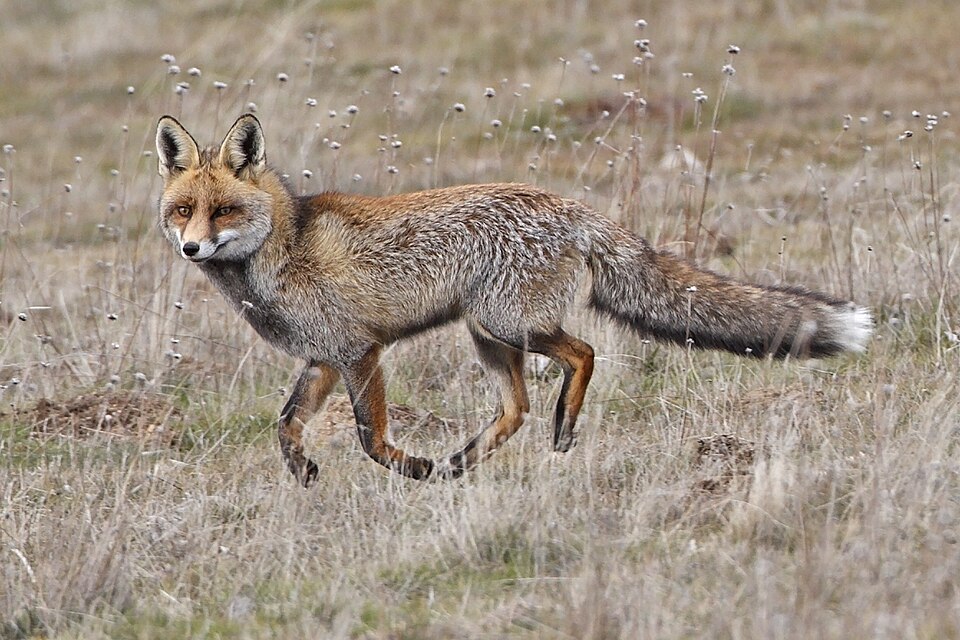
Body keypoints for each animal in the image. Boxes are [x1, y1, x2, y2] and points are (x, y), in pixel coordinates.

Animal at [156, 113, 873, 486]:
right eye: (184, 210)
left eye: (223, 211)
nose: (191, 248)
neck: (285, 245)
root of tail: (574, 208)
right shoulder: (324, 358)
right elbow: (284, 425)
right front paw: (305, 473)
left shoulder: (361, 351)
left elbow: (369, 437)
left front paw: (410, 468)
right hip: (489, 335)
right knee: (518, 407)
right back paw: (462, 462)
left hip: (505, 323)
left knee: (582, 355)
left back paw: (559, 429)